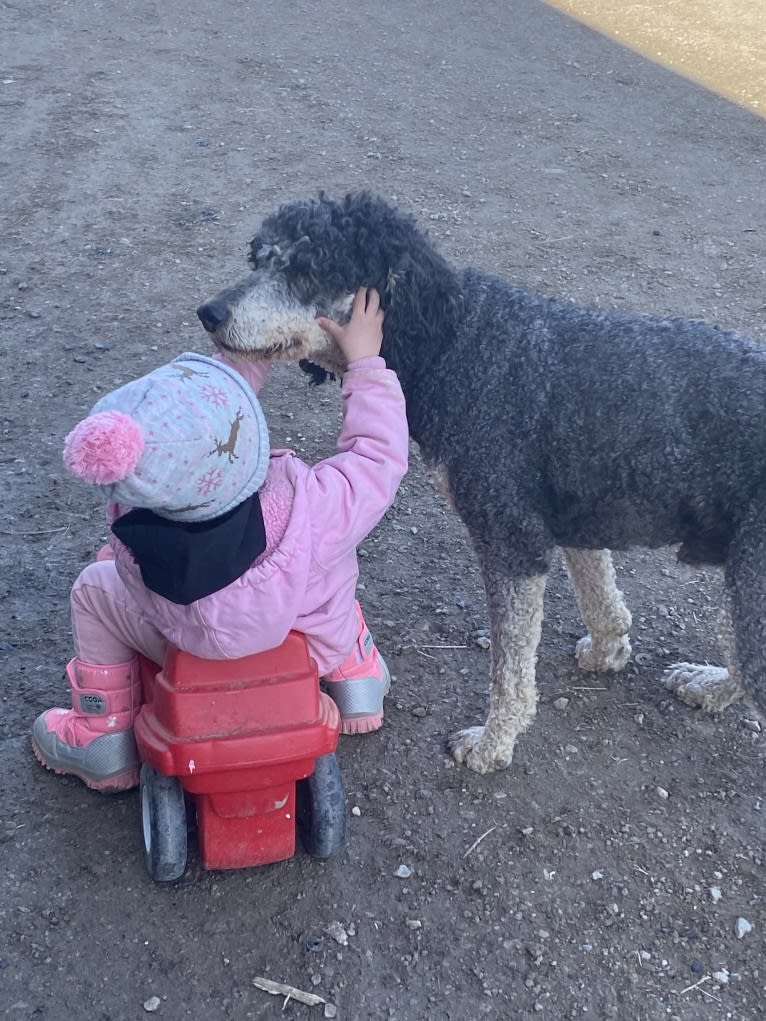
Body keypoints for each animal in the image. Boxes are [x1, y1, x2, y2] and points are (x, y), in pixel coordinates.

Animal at [196, 192, 766, 771]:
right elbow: (600, 596)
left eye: (305, 268)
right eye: (259, 258)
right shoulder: (574, 517)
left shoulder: (510, 541)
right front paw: (608, 651)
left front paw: (493, 743)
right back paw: (709, 684)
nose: (210, 312)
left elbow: (510, 671)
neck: (453, 343)